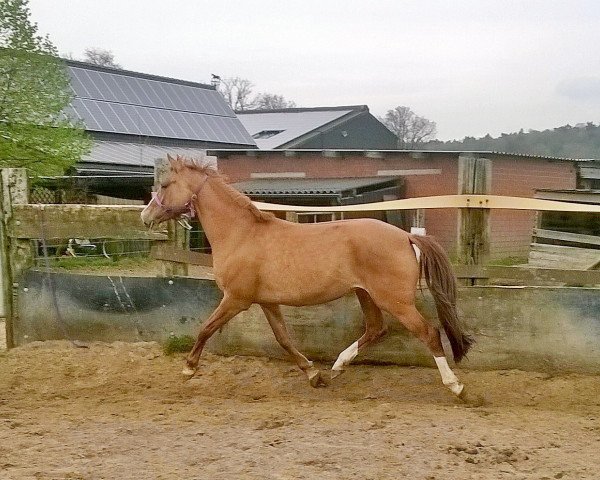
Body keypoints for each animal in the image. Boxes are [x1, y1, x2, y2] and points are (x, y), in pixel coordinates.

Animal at [142, 156, 474, 396]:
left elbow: (205, 329)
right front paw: (314, 375)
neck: (242, 233)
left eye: (166, 184)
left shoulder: (236, 299)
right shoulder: (267, 302)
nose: (145, 217)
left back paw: (456, 386)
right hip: (366, 294)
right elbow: (284, 339)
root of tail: (406, 236)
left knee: (428, 333)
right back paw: (338, 366)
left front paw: (188, 369)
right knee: (376, 329)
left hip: (395, 301)